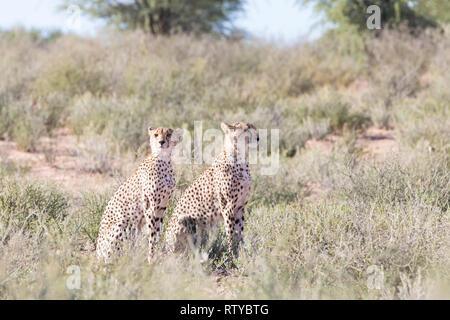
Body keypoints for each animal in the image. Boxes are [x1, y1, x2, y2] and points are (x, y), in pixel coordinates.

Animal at [96, 125, 183, 262]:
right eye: (156, 135)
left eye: (168, 135)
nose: (161, 142)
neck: (163, 159)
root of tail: (96, 253)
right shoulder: (150, 207)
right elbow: (152, 234)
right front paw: (151, 257)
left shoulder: (162, 206)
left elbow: (158, 231)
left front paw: (157, 254)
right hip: (122, 223)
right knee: (112, 254)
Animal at [165, 121, 258, 258]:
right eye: (246, 129)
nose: (258, 138)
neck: (240, 157)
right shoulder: (228, 207)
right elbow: (231, 233)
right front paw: (232, 256)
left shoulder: (240, 207)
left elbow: (239, 233)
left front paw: (242, 254)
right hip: (184, 219)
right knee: (177, 253)